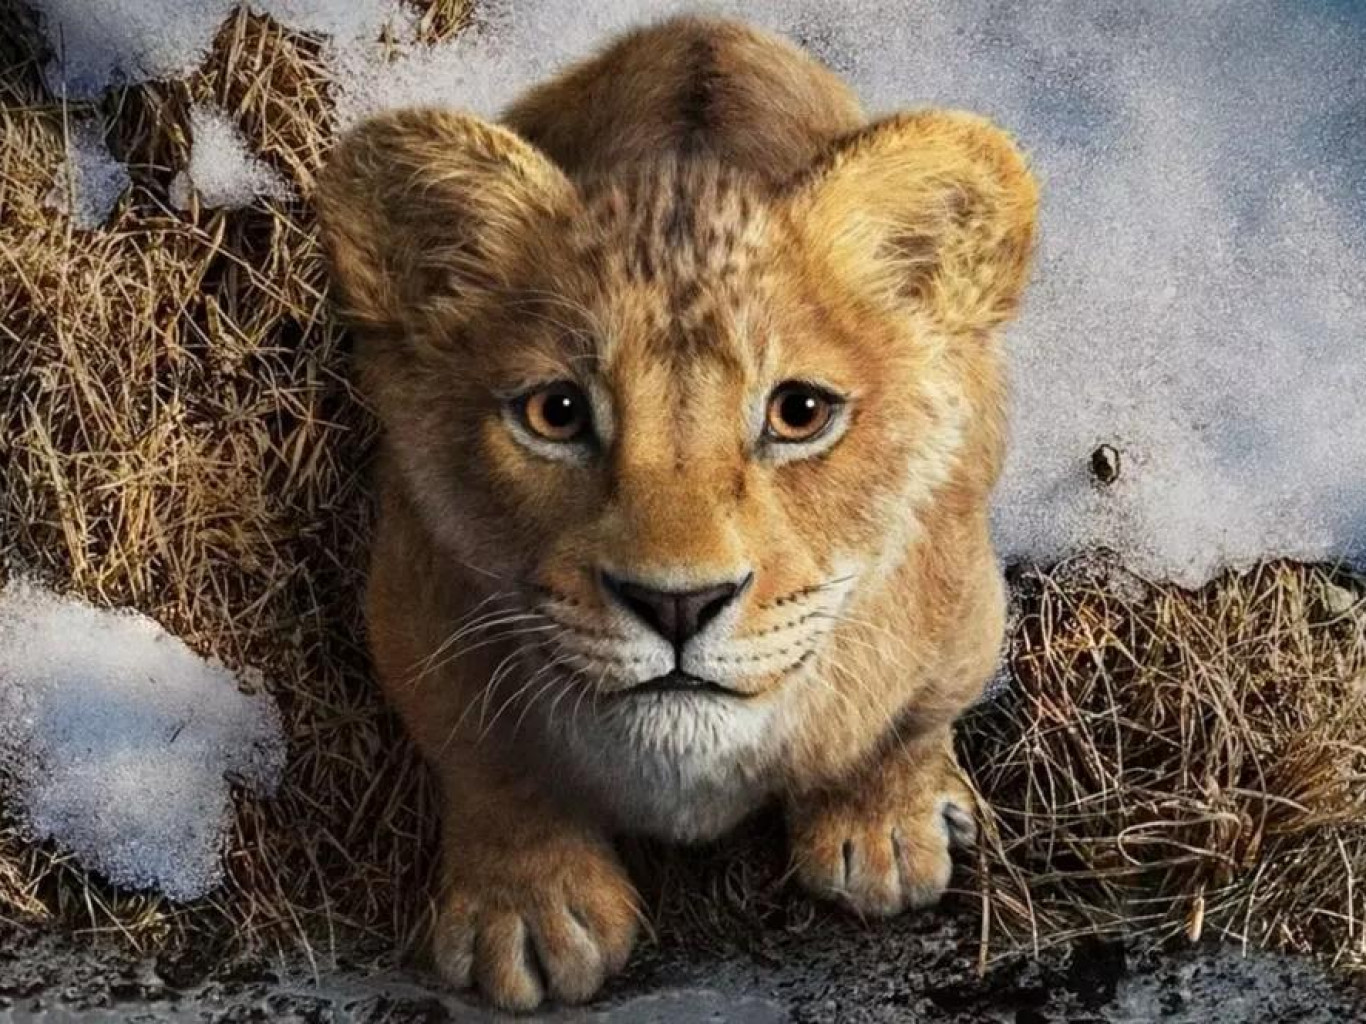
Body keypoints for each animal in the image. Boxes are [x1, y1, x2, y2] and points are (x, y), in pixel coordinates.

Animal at [316, 15, 1037, 1011]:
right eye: (556, 412)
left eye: (799, 412)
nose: (677, 605)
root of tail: (704, 25)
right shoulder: (412, 599)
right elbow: (487, 760)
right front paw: (527, 910)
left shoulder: (963, 602)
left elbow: (906, 722)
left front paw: (885, 831)